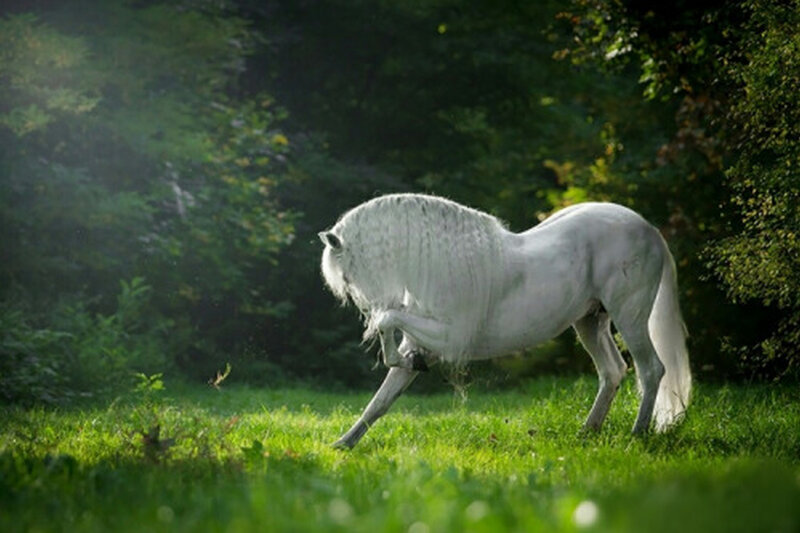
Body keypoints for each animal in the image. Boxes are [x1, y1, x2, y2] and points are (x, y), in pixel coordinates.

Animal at [319, 193, 691, 449]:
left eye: (347, 275)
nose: (367, 307)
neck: (440, 266)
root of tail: (649, 229)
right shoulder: (422, 339)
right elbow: (381, 400)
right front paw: (343, 444)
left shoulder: (449, 337)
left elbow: (388, 322)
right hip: (590, 322)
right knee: (613, 371)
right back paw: (588, 432)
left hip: (630, 316)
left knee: (651, 370)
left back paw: (637, 435)